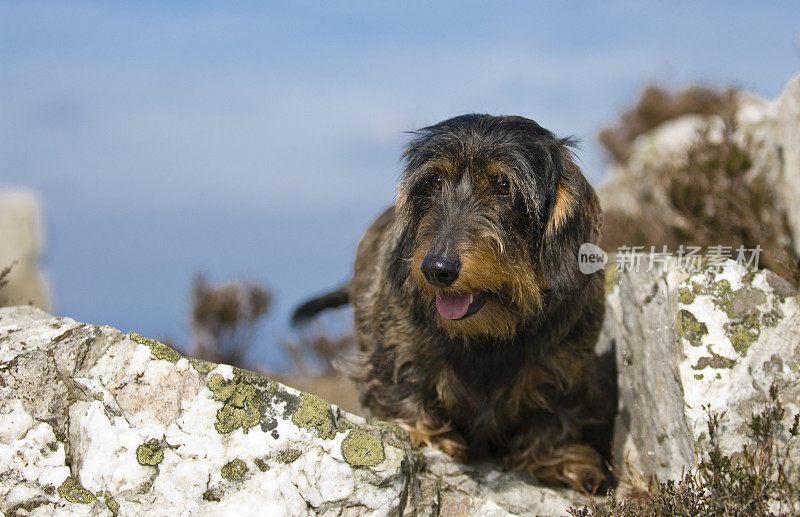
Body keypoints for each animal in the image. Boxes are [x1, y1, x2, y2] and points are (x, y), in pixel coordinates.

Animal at [292, 113, 608, 488]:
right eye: (435, 181)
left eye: (504, 185)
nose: (436, 269)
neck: (489, 336)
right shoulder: (397, 356)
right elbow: (405, 388)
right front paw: (421, 433)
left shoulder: (565, 372)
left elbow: (553, 415)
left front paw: (556, 460)